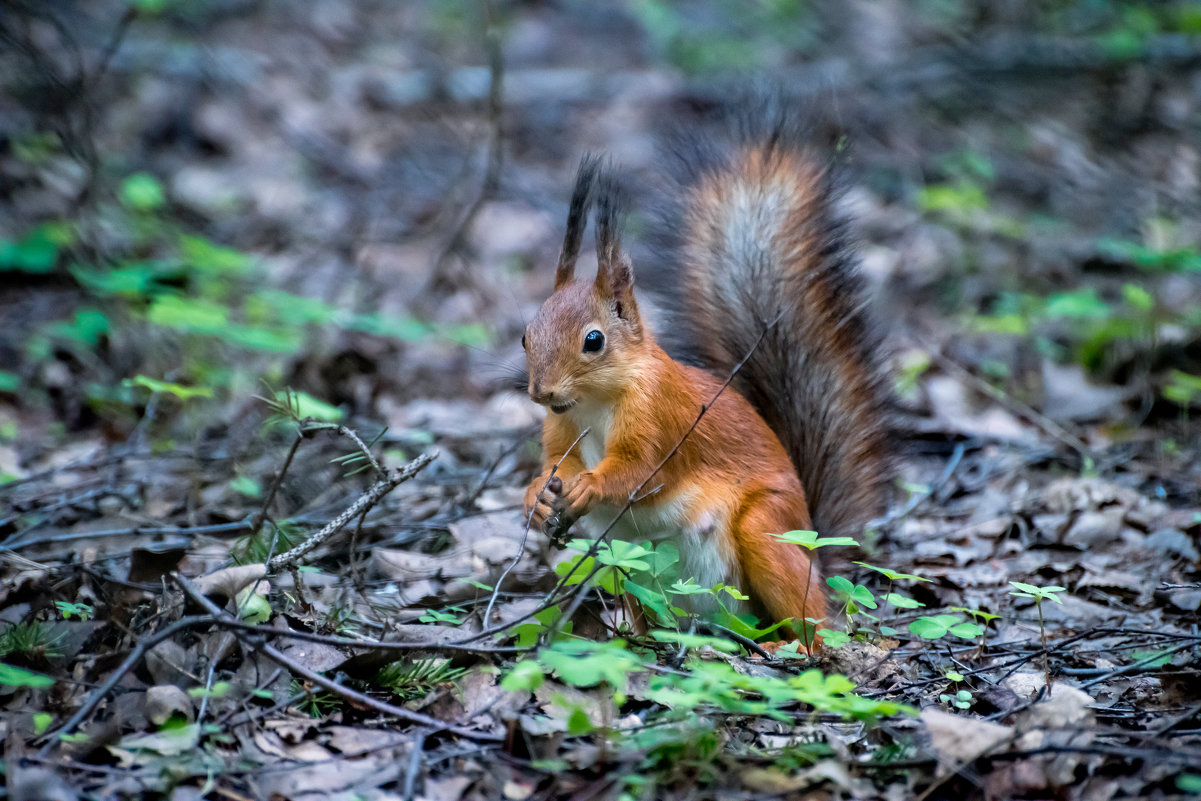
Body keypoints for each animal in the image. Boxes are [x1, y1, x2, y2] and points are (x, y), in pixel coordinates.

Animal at [518, 112, 893, 648]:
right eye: (525, 336)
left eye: (593, 340)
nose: (541, 392)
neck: (595, 401)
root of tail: (816, 549)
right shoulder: (562, 427)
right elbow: (555, 463)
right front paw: (536, 496)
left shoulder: (661, 415)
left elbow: (641, 471)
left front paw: (590, 486)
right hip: (633, 572)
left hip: (767, 535)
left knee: (814, 630)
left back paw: (782, 644)